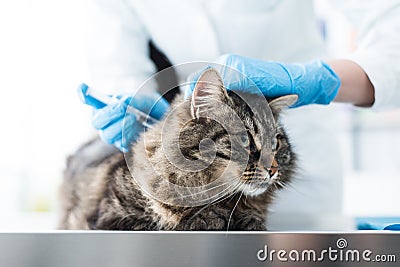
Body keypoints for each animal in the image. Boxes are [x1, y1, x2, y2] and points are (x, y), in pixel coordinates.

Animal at [59, 68, 296, 230]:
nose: (274, 169)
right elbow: (177, 223)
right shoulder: (111, 217)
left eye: (276, 143)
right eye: (245, 139)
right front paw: (209, 218)